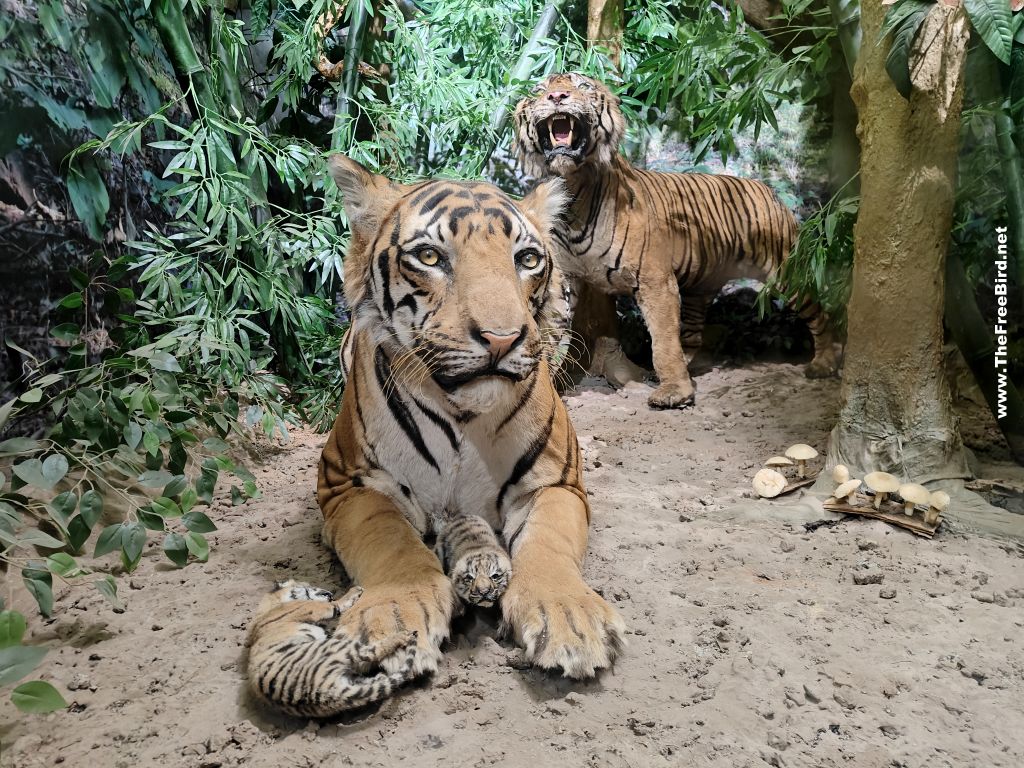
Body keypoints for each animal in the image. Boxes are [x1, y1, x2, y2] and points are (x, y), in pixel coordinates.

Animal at [251, 153, 626, 720]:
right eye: (429, 256)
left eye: (527, 259)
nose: (503, 338)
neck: (463, 414)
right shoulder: (345, 482)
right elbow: (389, 540)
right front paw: (393, 614)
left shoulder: (558, 482)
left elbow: (548, 542)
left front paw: (569, 617)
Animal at [512, 72, 839, 409]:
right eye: (539, 90)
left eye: (583, 86)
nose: (557, 97)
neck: (572, 189)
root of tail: (770, 190)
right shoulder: (562, 279)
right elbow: (549, 332)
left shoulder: (655, 280)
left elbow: (663, 338)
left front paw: (674, 392)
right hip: (701, 285)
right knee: (693, 333)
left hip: (786, 271)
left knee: (821, 314)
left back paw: (824, 363)